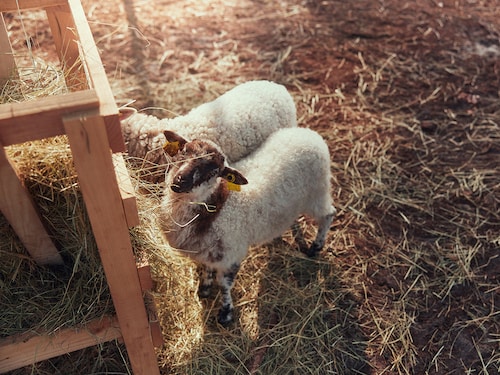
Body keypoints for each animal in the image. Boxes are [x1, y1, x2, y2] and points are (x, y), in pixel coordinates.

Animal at [159, 127, 336, 326]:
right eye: (184, 151)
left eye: (213, 172)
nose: (179, 182)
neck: (215, 207)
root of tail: (309, 133)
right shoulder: (209, 250)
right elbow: (207, 268)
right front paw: (204, 288)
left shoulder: (232, 254)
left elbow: (224, 284)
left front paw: (226, 313)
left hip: (317, 192)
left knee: (328, 214)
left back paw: (316, 247)